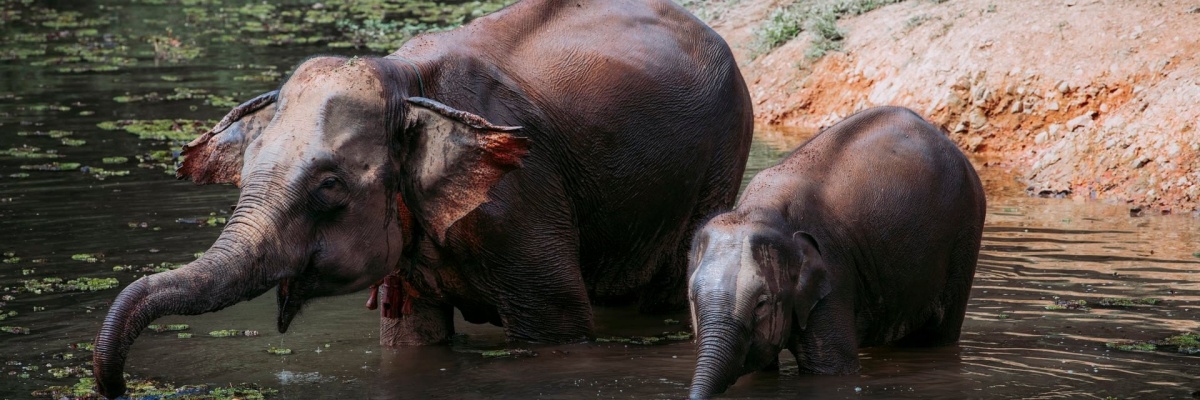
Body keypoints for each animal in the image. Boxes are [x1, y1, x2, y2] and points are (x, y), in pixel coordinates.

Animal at [93, 0, 748, 396]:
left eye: (328, 187)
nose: (117, 386)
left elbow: (557, 333)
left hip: (720, 157)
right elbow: (411, 341)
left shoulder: (522, 198)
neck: (402, 79)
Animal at [686, 105, 984, 396]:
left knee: (939, 334)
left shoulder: (833, 271)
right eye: (692, 298)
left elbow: (831, 370)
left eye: (761, 304)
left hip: (964, 236)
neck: (759, 211)